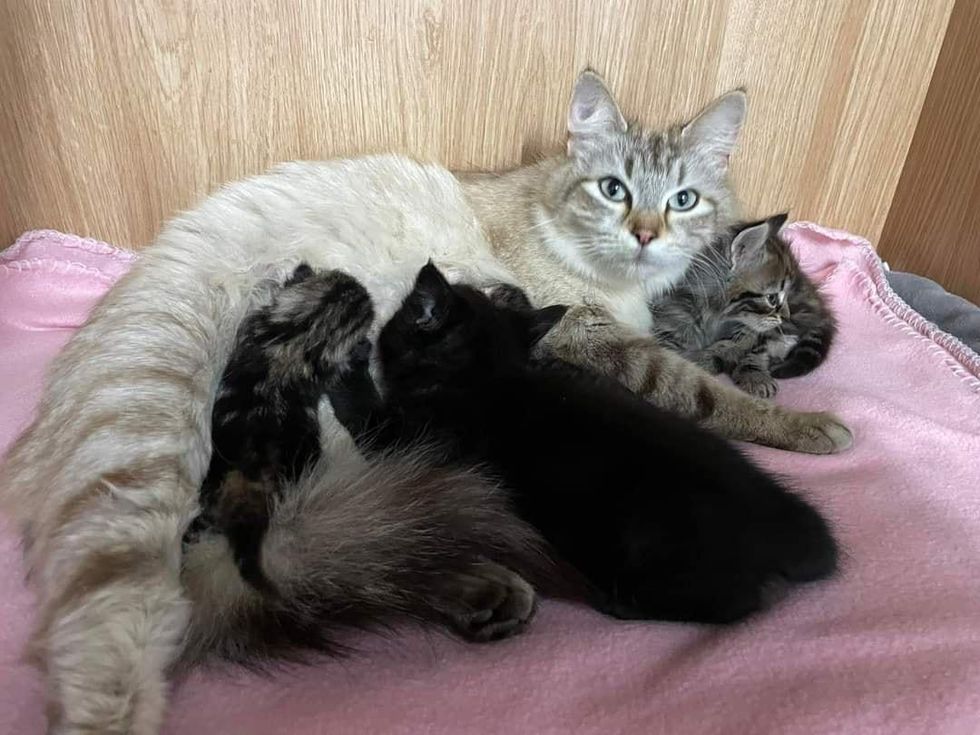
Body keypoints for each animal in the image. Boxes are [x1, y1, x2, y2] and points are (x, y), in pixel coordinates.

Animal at [348, 262, 840, 624]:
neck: (487, 374)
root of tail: (784, 527)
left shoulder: (413, 439)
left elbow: (364, 416)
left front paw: (345, 363)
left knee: (733, 604)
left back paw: (617, 603)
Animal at [652, 213, 836, 396]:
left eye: (784, 295)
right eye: (772, 298)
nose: (786, 315)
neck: (715, 315)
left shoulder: (751, 329)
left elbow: (747, 346)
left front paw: (750, 372)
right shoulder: (668, 319)